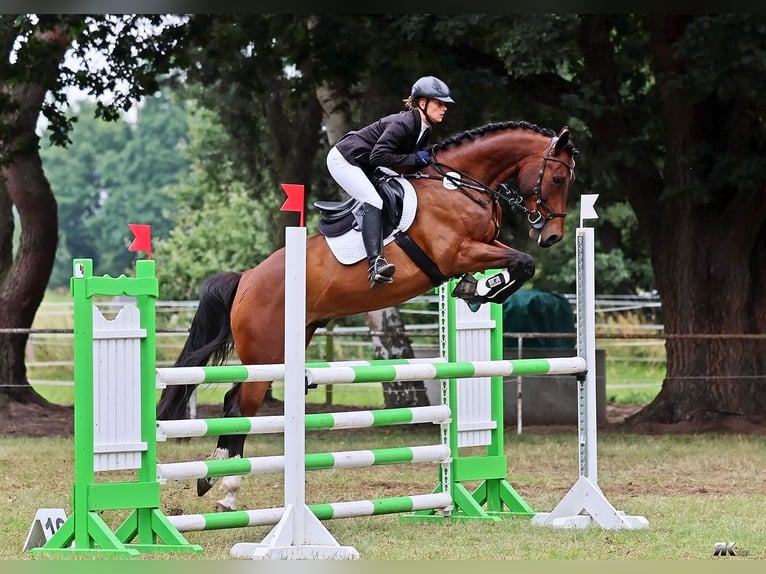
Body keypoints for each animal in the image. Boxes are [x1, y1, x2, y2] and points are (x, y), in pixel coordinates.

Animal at [156, 120, 578, 512]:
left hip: (288, 344)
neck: (458, 187)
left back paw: (214, 482)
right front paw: (486, 287)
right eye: (557, 177)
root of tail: (246, 279)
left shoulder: (483, 245)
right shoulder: (458, 252)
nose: (553, 235)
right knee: (238, 407)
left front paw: (476, 289)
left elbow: (519, 263)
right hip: (266, 354)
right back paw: (223, 489)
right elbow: (523, 262)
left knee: (236, 402)